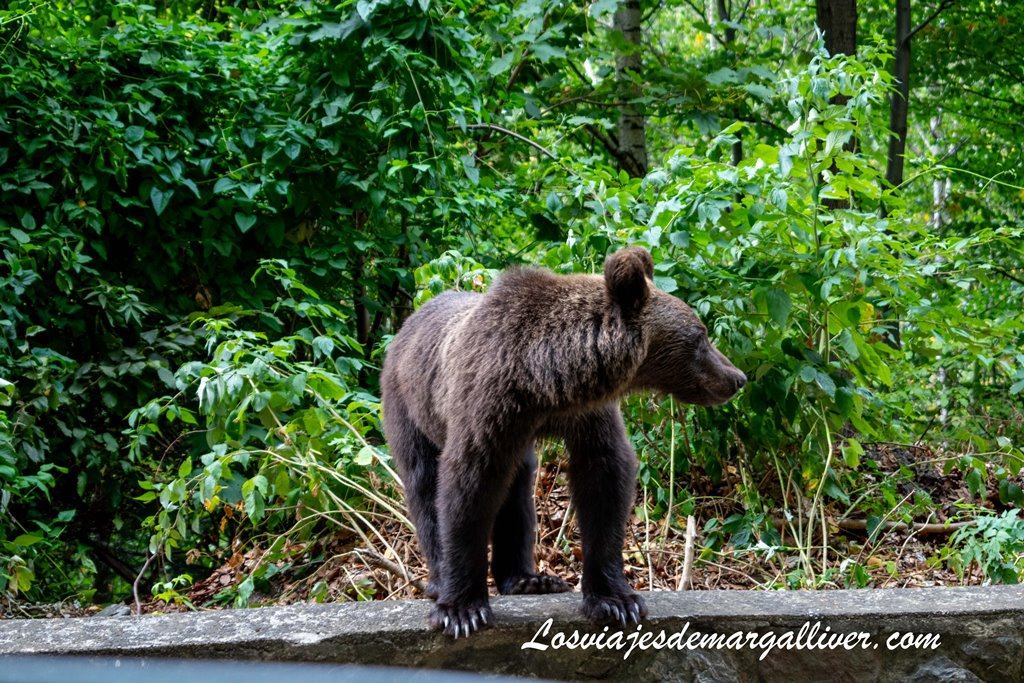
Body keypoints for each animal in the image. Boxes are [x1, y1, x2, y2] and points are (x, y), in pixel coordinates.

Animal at [380, 246, 746, 637]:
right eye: (701, 336)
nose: (737, 377)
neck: (542, 381)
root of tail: (406, 325)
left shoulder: (585, 415)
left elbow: (604, 480)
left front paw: (616, 600)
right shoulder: (485, 407)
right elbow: (466, 488)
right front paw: (462, 610)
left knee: (516, 490)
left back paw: (527, 579)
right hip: (408, 405)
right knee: (423, 484)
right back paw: (439, 580)